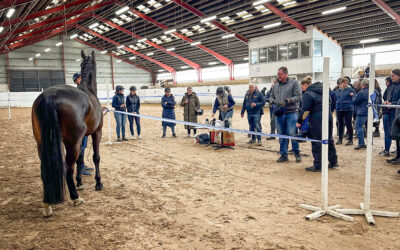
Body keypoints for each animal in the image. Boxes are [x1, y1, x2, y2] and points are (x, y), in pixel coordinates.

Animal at [32, 49, 103, 217]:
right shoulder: (97, 132)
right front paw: (98, 183)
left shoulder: (83, 138)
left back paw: (47, 205)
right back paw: (76, 198)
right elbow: (95, 157)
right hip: (72, 143)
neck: (88, 90)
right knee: (67, 168)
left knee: (45, 170)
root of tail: (50, 94)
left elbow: (81, 159)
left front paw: (80, 182)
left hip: (41, 143)